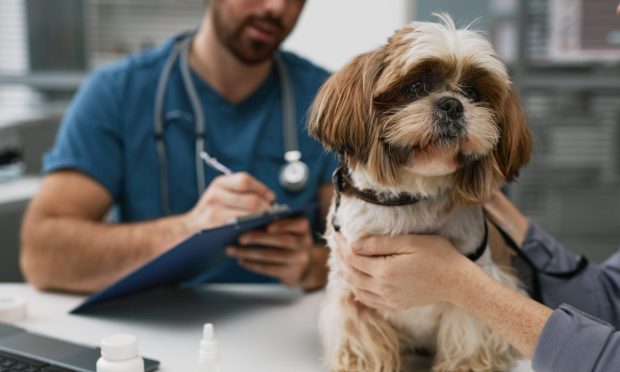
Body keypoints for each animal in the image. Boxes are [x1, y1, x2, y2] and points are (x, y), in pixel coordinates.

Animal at [310, 14, 532, 372]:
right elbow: (362, 342)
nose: (452, 104)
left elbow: (467, 338)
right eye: (415, 87)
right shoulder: (351, 292)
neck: (411, 197)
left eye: (473, 92)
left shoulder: (476, 289)